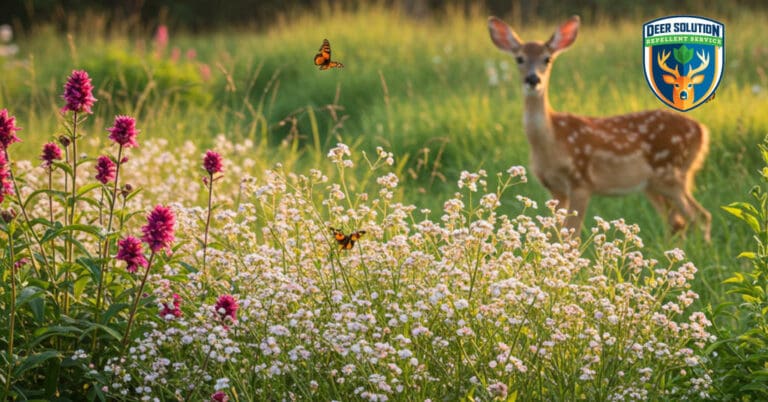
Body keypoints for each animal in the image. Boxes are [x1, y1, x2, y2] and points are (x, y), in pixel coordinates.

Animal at [487, 15, 711, 242]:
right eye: (519, 59)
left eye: (547, 59)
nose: (533, 79)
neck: (552, 140)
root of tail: (702, 130)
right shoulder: (554, 188)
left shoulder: (581, 181)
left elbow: (572, 236)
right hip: (654, 184)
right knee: (677, 222)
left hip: (670, 172)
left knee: (700, 216)